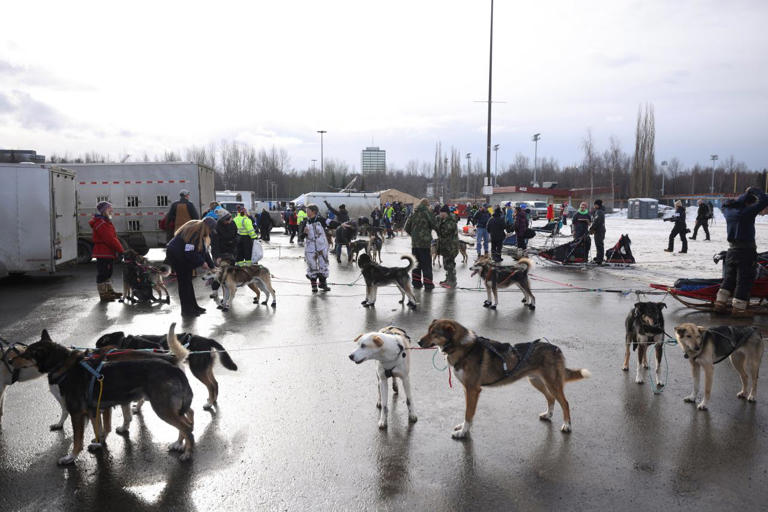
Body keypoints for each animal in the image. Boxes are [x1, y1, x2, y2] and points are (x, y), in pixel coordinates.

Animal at [420, 318, 588, 438]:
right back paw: (548, 415)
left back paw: (567, 425)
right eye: (428, 330)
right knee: (550, 398)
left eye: (434, 333)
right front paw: (463, 428)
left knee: (565, 403)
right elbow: (468, 413)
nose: (418, 342)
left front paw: (462, 433)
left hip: (552, 383)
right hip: (536, 380)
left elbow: (468, 414)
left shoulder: (473, 390)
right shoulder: (466, 390)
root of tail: (555, 349)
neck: (463, 347)